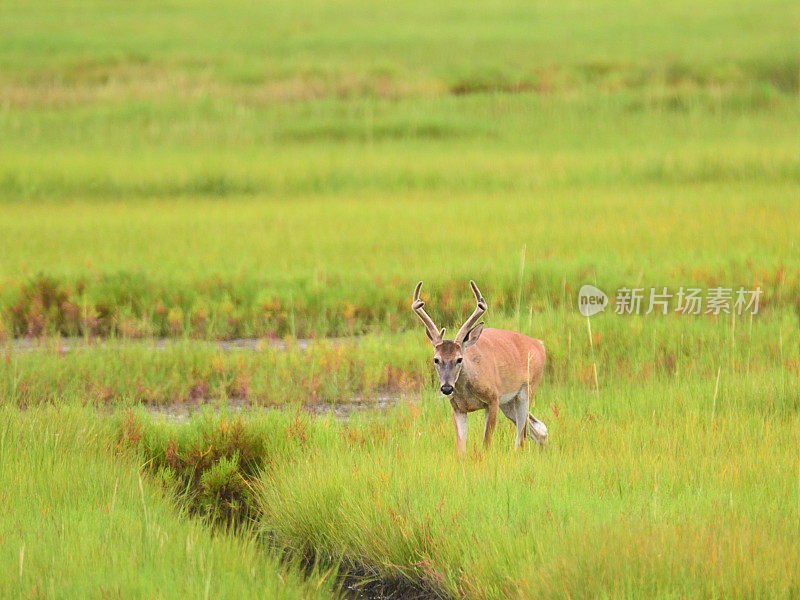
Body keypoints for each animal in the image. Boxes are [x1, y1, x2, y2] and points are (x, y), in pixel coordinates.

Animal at [412, 278, 552, 452]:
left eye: (459, 359)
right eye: (436, 359)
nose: (447, 388)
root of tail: (540, 345)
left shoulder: (493, 399)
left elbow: (486, 444)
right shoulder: (457, 408)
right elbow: (461, 449)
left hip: (527, 390)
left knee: (522, 436)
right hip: (508, 402)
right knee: (539, 428)